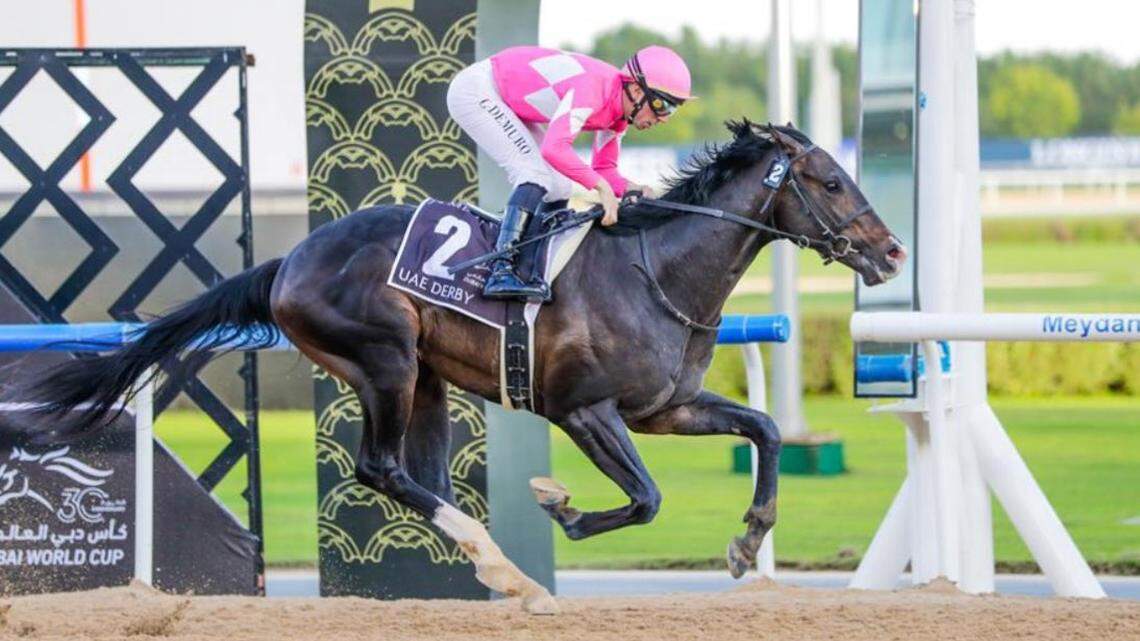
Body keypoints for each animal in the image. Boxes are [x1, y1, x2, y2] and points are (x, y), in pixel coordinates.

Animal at [3, 120, 905, 613]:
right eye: (830, 179)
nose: (892, 250)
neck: (657, 268)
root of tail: (290, 259)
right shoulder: (586, 411)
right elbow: (646, 498)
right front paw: (562, 507)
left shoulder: (664, 409)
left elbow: (765, 428)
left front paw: (748, 538)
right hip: (385, 359)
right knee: (381, 467)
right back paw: (503, 562)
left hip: (427, 376)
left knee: (422, 473)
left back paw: (501, 567)